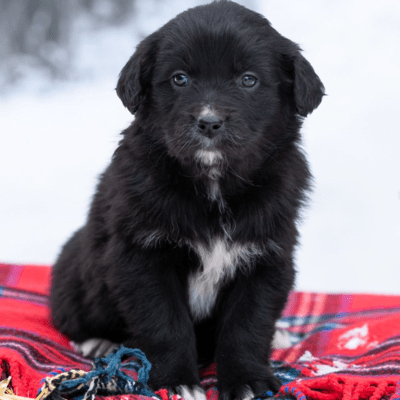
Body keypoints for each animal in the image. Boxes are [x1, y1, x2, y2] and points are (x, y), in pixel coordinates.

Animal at [50, 1, 324, 398]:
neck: (213, 183)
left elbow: (248, 325)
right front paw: (176, 381)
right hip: (76, 266)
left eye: (248, 80)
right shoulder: (142, 257)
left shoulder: (267, 257)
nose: (208, 122)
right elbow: (165, 323)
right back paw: (98, 342)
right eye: (180, 79)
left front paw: (247, 381)